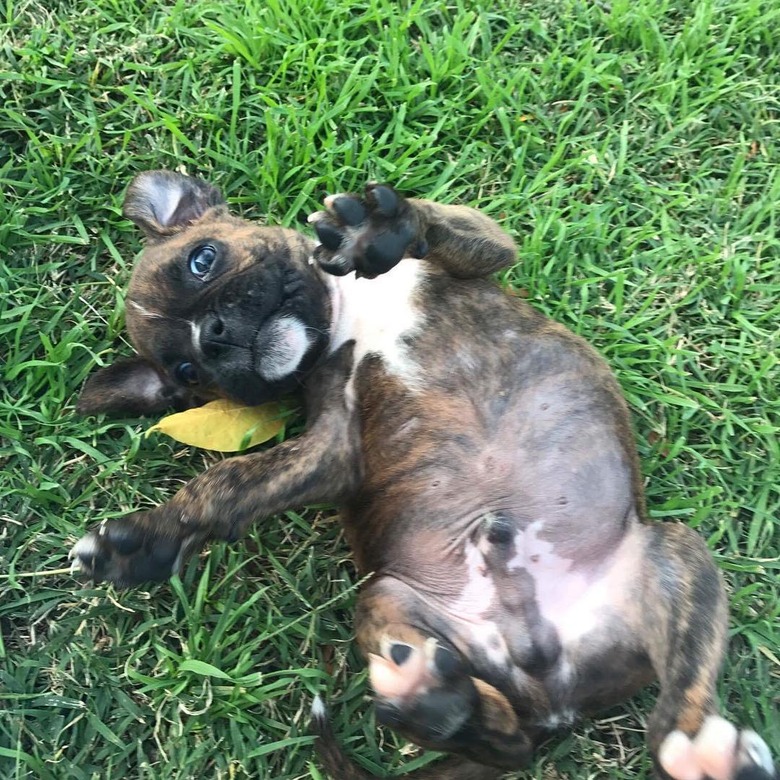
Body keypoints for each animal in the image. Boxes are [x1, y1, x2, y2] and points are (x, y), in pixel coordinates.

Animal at [71, 171, 772, 780]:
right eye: (188, 372)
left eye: (204, 259)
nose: (212, 336)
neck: (346, 308)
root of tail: (553, 696)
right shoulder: (331, 442)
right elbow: (227, 485)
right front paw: (148, 541)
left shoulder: (482, 253)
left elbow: (450, 225)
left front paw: (382, 227)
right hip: (390, 602)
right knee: (508, 744)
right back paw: (444, 706)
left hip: (672, 556)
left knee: (680, 693)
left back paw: (696, 748)